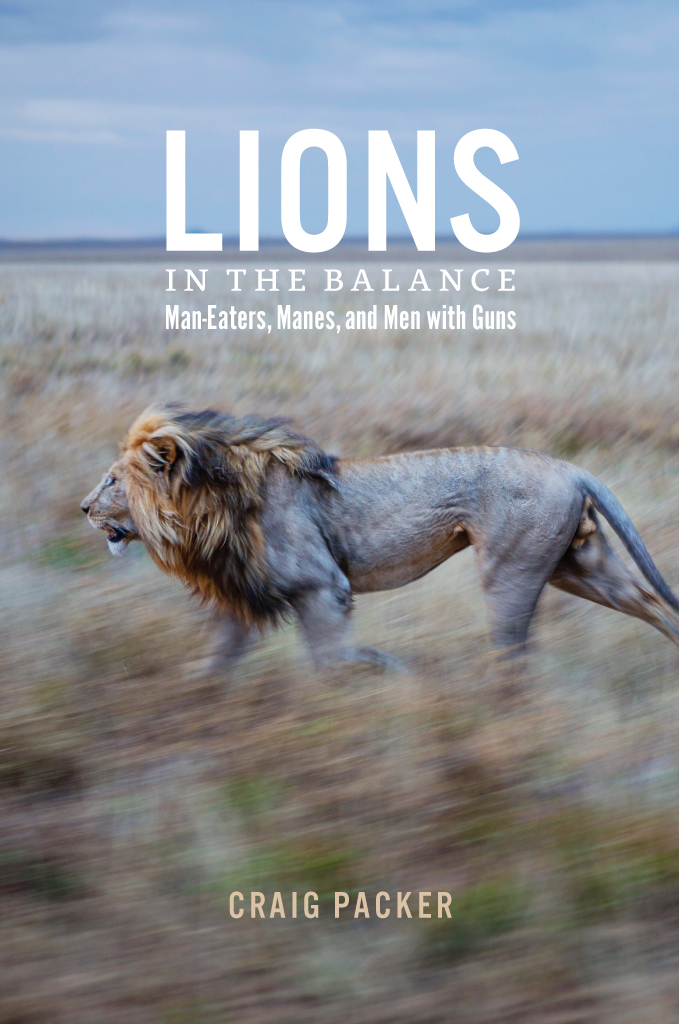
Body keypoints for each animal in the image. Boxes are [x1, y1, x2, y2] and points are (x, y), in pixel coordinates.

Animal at [81, 404, 679, 671]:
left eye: (111, 481)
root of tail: (570, 467)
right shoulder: (241, 596)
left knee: (512, 652)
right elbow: (215, 665)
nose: (84, 508)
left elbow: (332, 660)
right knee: (653, 604)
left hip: (512, 570)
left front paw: (386, 675)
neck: (205, 508)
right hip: (576, 565)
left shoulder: (322, 586)